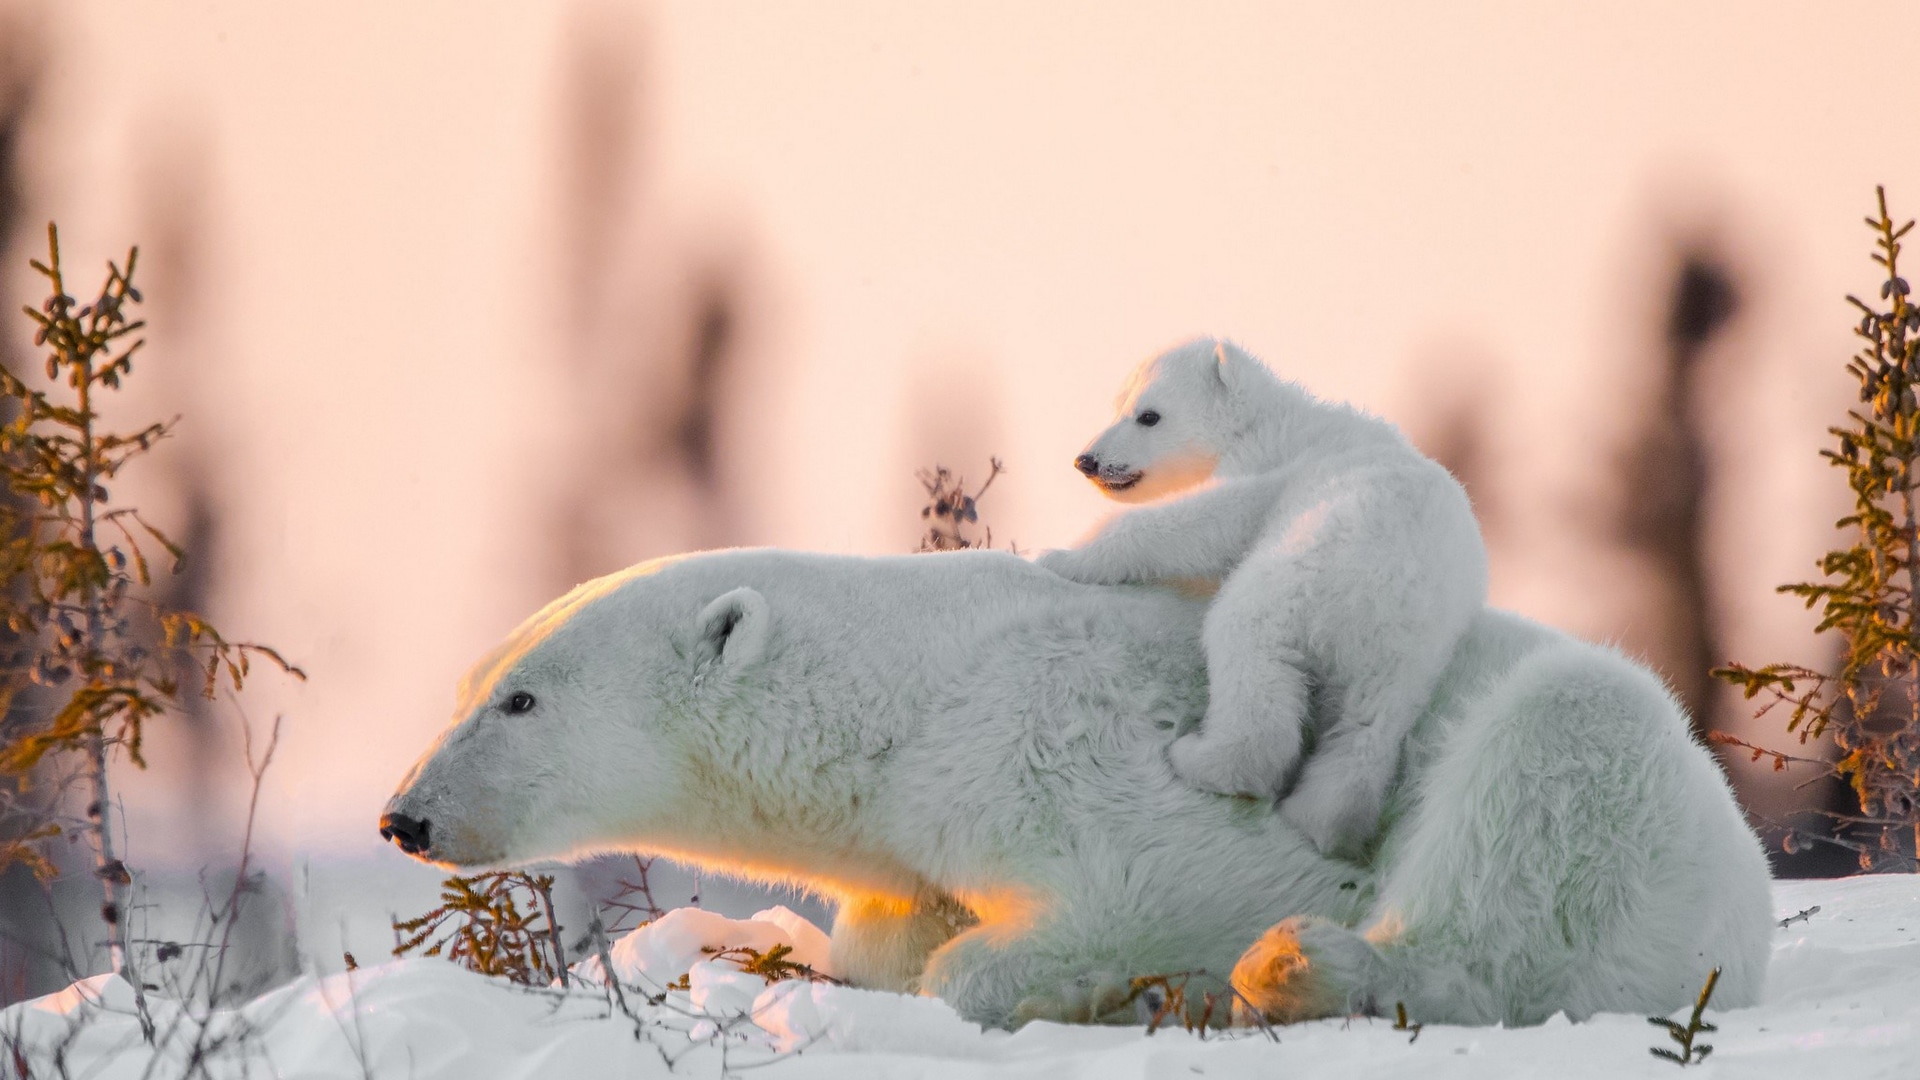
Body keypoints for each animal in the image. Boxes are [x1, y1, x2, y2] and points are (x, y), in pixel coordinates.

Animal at [381, 546, 1773, 1030]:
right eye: (468, 682)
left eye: (521, 701)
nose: (405, 816)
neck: (911, 692)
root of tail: (1752, 915)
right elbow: (891, 929)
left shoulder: (1059, 742)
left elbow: (1159, 884)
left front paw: (1075, 982)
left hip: (1612, 789)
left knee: (1539, 800)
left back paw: (1305, 968)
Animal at [1038, 338, 1488, 858]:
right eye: (1118, 406)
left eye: (1149, 415)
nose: (1086, 460)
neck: (1267, 416)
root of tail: (1396, 595)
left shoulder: (1270, 465)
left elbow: (1202, 522)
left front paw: (1061, 557)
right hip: (1410, 658)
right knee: (1366, 730)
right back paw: (1320, 818)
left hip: (1302, 572)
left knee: (1247, 649)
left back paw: (1202, 758)